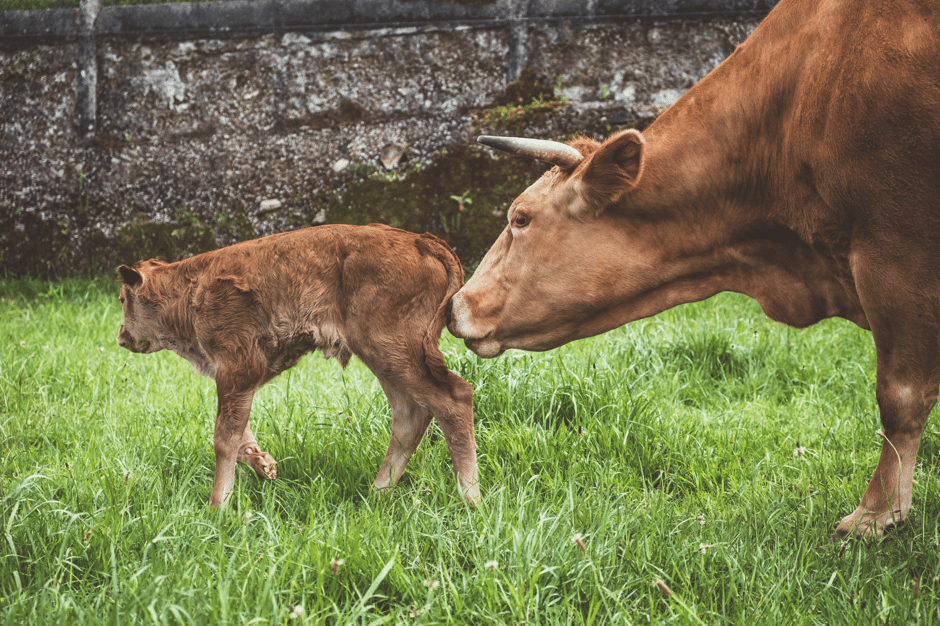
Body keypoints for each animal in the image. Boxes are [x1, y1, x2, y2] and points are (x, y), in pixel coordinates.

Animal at [117, 224, 478, 508]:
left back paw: (470, 499)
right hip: (386, 360)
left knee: (452, 400)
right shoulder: (237, 379)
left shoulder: (237, 368)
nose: (121, 337)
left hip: (393, 352)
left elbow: (224, 437)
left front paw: (218, 505)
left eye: (123, 299)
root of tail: (419, 240)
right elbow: (238, 431)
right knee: (409, 415)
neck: (188, 289)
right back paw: (377, 493)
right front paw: (263, 465)